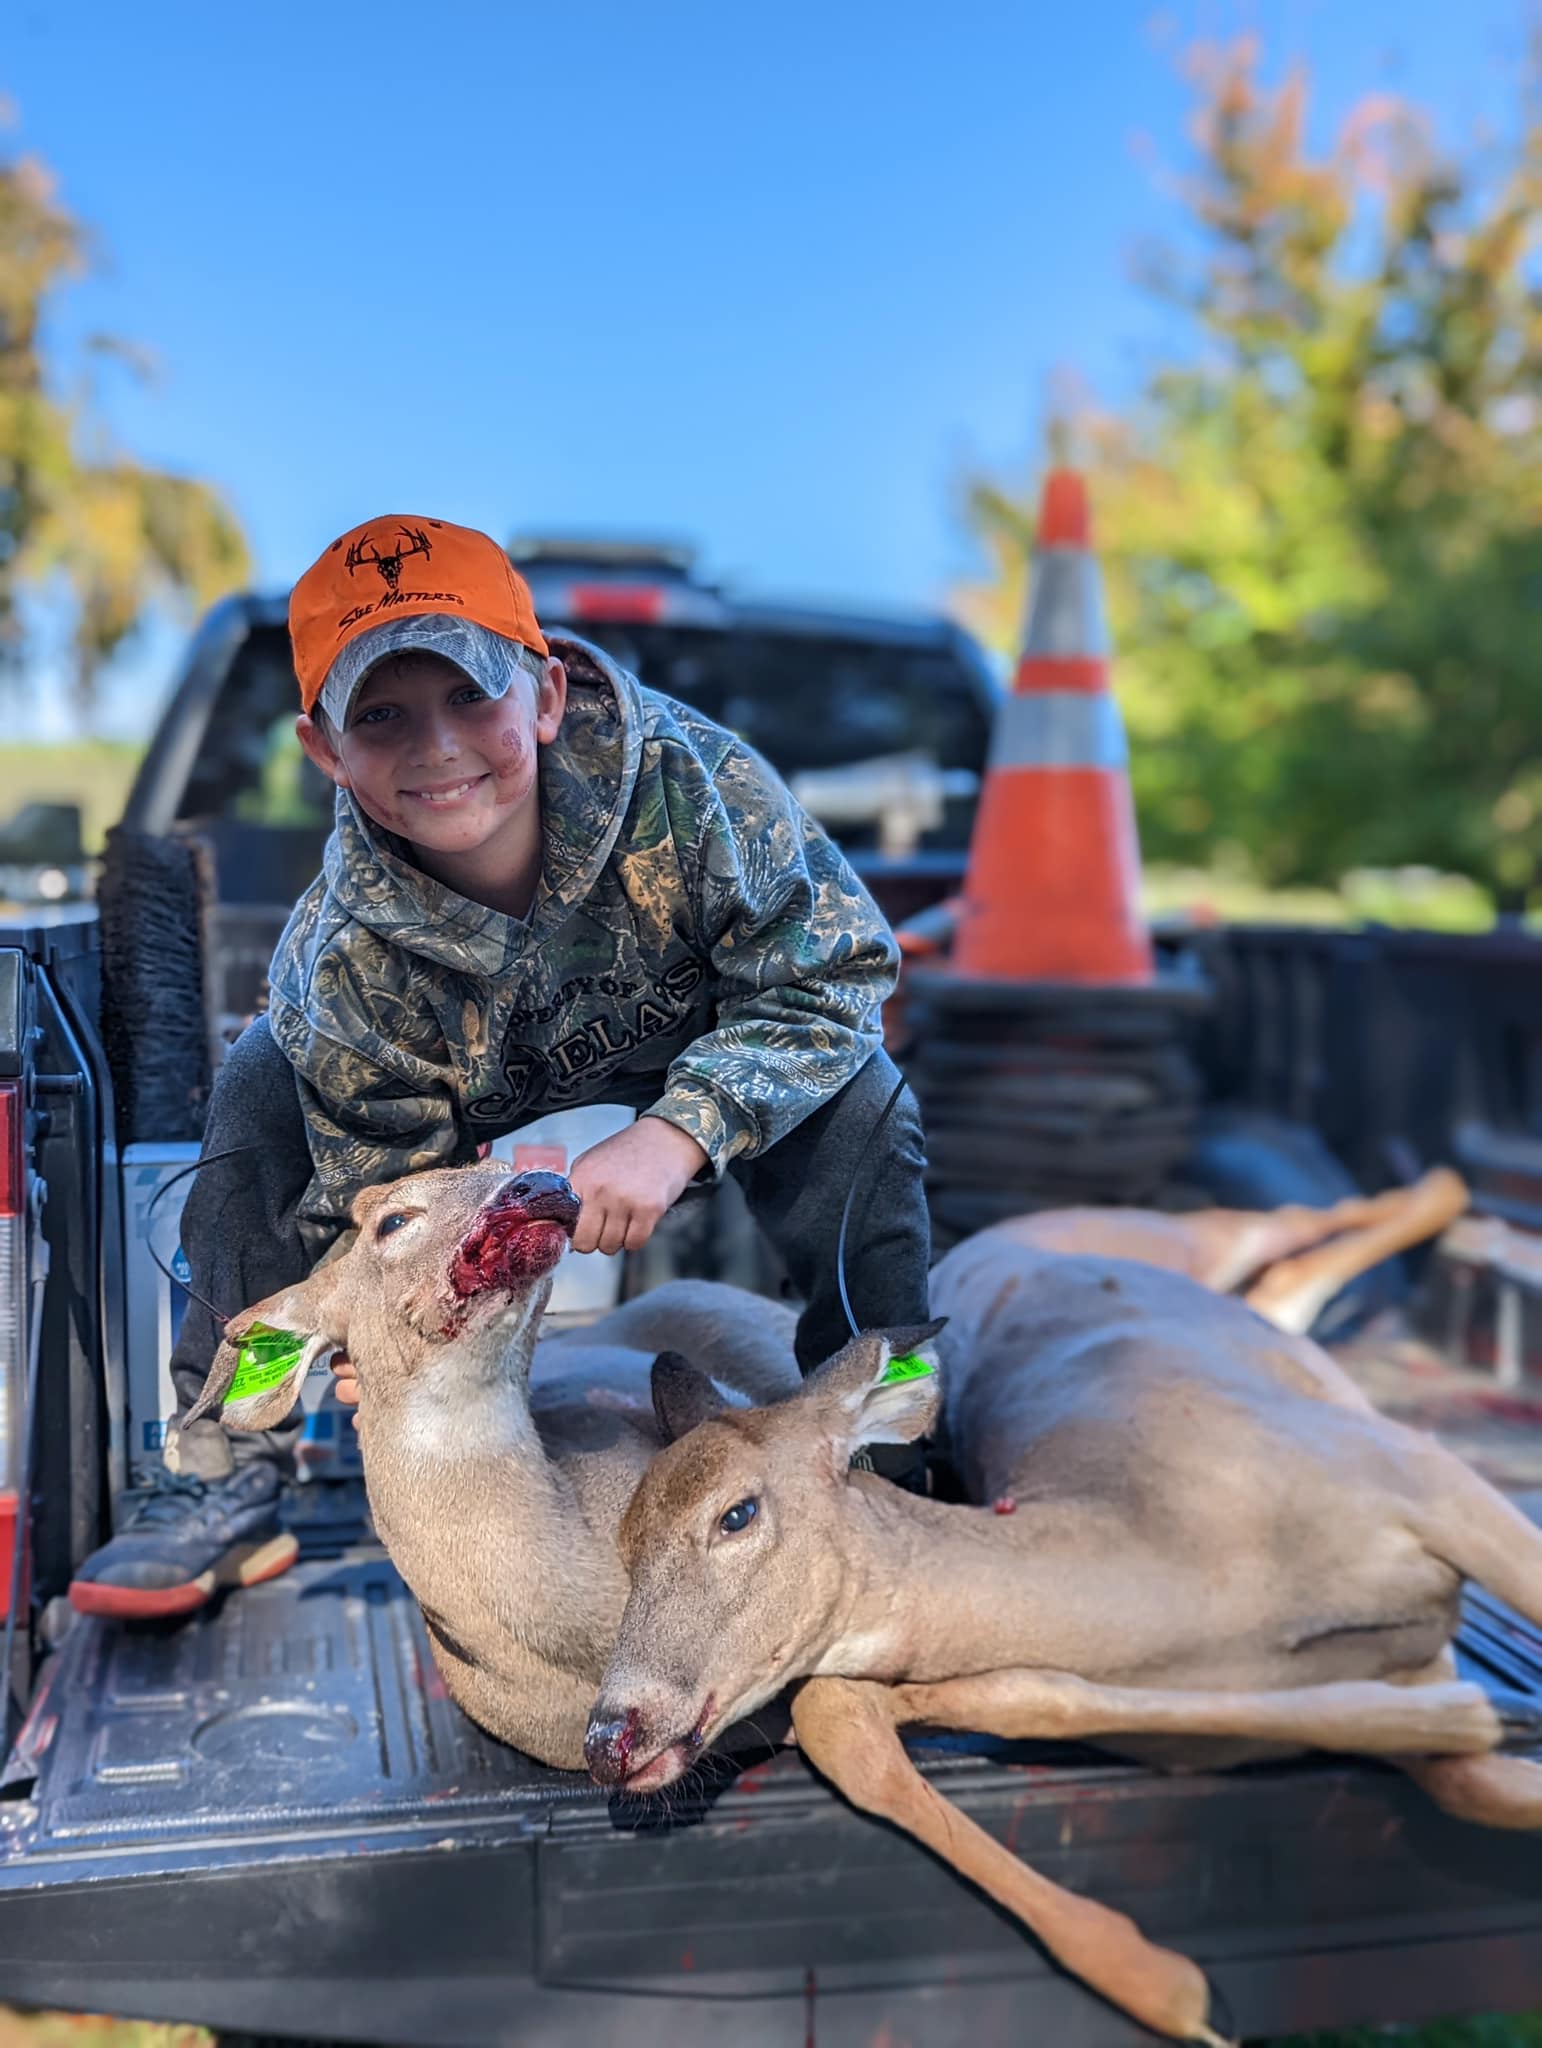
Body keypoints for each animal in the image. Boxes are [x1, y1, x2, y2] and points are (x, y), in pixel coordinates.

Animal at [586, 1164, 1542, 2046]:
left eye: (736, 1513)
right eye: (626, 1539)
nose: (609, 1738)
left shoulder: (1419, 1475)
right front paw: (1173, 1989)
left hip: (1193, 1252)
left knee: (1286, 1220)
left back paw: (1456, 1202)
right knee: (1288, 1274)